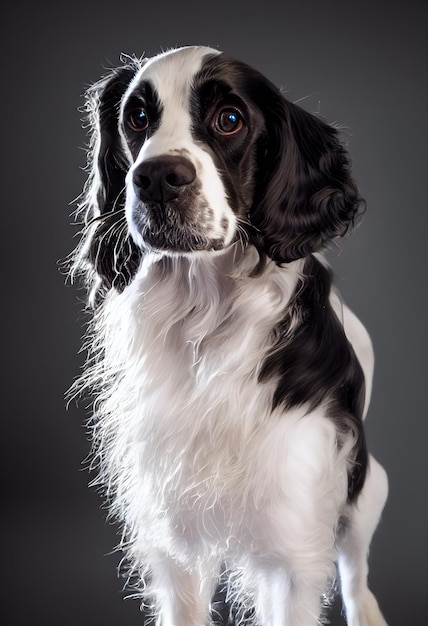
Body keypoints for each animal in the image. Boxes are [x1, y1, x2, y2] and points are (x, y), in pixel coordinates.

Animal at [72, 45, 390, 624]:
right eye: (137, 117)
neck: (206, 316)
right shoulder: (175, 542)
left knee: (356, 570)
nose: (156, 177)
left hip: (365, 485)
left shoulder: (293, 545)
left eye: (230, 119)